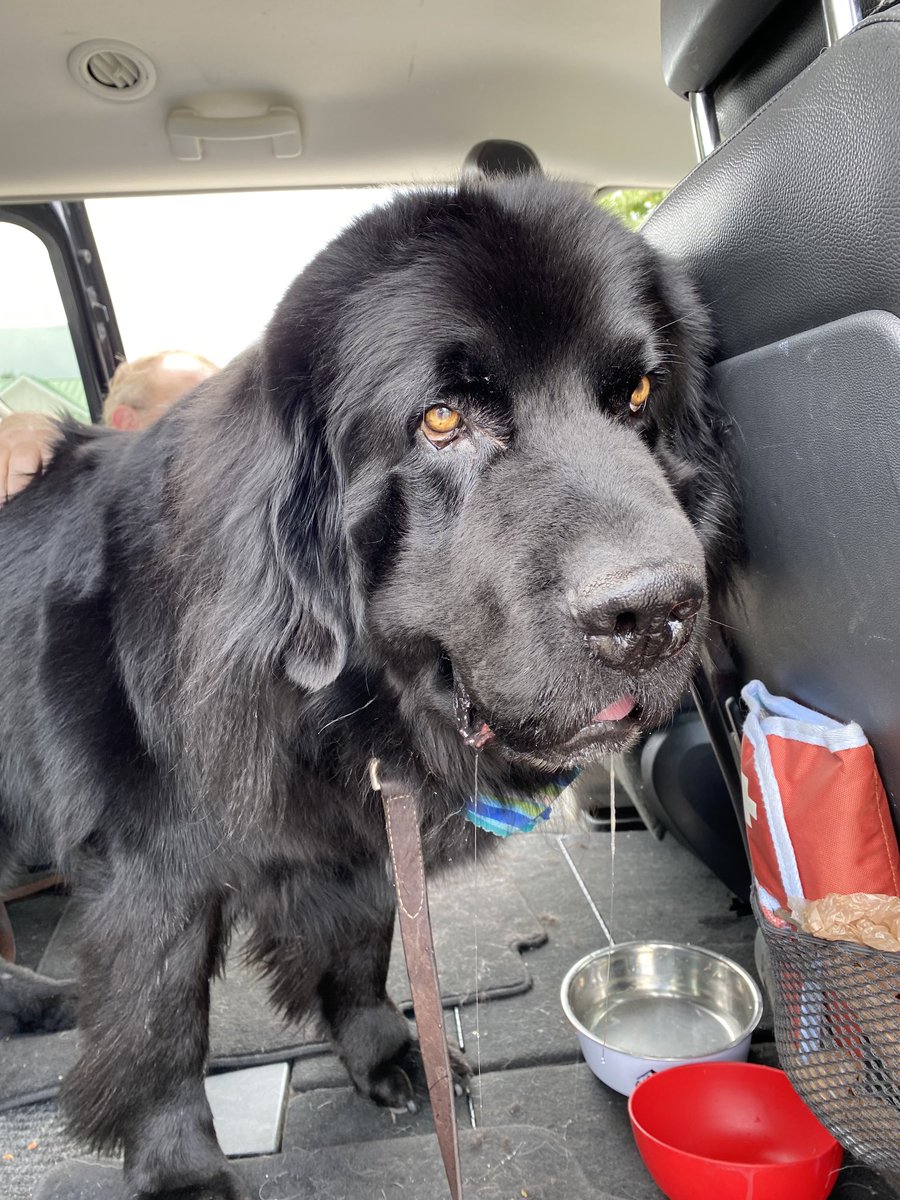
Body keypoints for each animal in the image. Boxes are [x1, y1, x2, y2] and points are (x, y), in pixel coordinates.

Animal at [0, 174, 734, 1195]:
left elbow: (362, 941)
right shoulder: (150, 872)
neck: (339, 697)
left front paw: (388, 1051)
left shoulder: (357, 831)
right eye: (441, 419)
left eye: (635, 394)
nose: (653, 611)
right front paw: (182, 1167)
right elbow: (162, 1026)